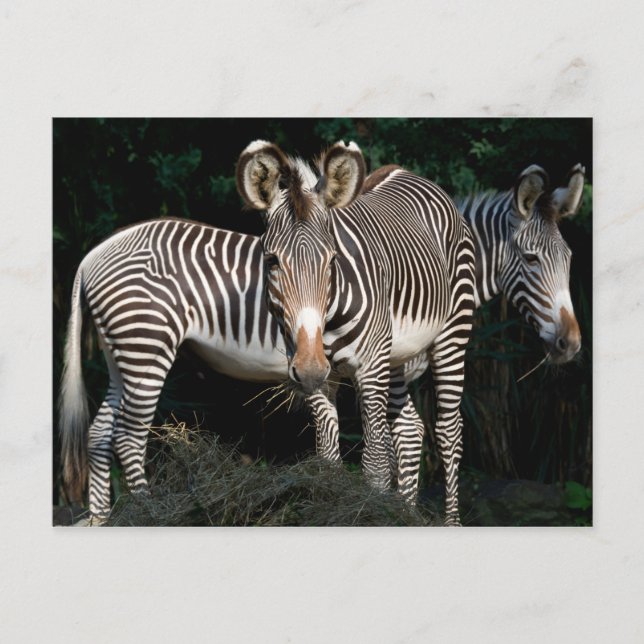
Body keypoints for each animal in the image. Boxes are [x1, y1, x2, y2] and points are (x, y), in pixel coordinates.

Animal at [236, 139, 476, 525]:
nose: (311, 366)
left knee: (449, 431)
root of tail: (403, 170)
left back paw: (451, 521)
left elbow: (374, 464)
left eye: (333, 260)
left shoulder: (369, 368)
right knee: (409, 429)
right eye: (272, 261)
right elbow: (328, 461)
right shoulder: (316, 376)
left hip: (451, 335)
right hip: (395, 356)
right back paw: (406, 513)